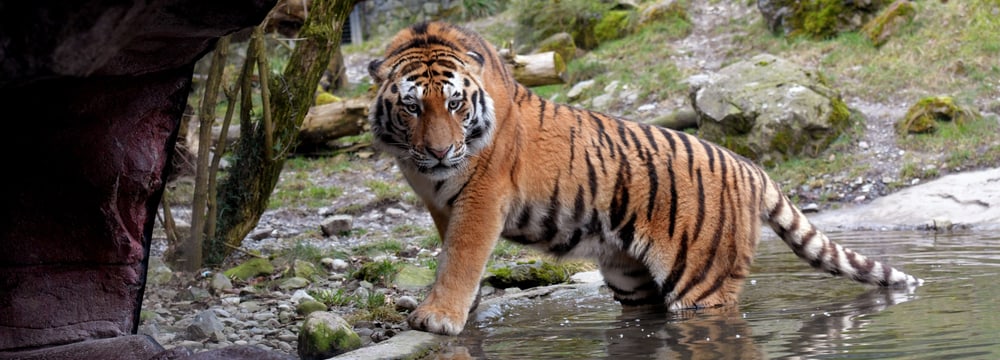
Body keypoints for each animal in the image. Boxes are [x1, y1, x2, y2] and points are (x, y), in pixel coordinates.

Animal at [366, 21, 920, 336]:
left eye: (455, 103)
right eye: (412, 107)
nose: (440, 151)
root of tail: (750, 166)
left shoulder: (481, 194)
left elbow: (461, 255)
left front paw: (437, 318)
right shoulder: (442, 200)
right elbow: (452, 253)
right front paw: (467, 308)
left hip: (701, 281)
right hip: (630, 276)